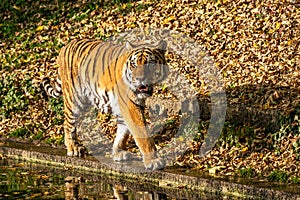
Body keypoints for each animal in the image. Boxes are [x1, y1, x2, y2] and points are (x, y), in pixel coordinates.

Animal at [42, 38, 169, 170]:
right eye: (134, 64)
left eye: (150, 64)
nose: (140, 79)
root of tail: (66, 45)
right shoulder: (131, 105)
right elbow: (143, 134)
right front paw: (154, 161)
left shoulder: (124, 106)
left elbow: (123, 132)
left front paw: (118, 152)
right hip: (74, 99)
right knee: (68, 123)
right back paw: (73, 148)